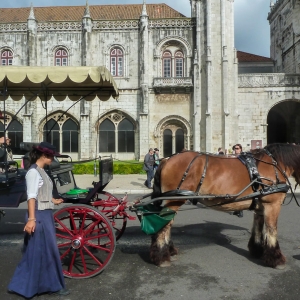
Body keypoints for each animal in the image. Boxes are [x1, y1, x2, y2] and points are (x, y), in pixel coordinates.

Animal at [151, 143, 300, 270]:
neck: (275, 164)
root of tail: (167, 160)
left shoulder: (260, 206)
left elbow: (258, 227)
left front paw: (257, 250)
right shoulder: (272, 205)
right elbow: (272, 230)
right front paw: (276, 258)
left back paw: (168, 251)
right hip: (175, 199)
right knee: (165, 224)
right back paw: (162, 257)